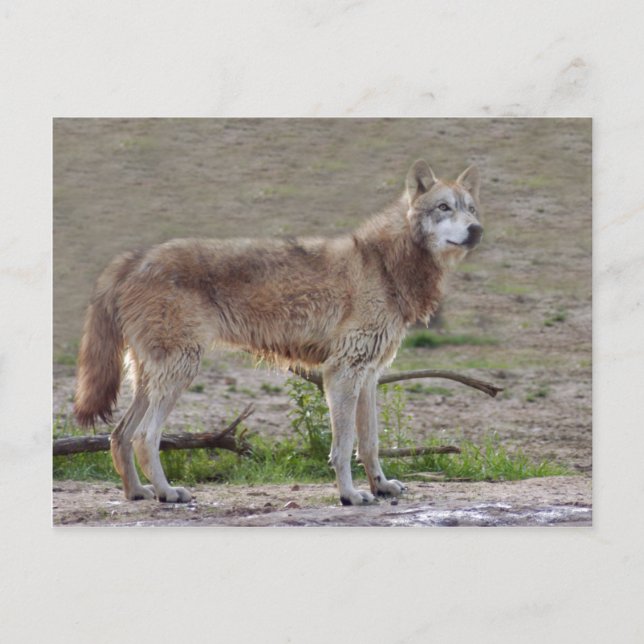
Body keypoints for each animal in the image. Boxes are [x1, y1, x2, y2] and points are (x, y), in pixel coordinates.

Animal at [74, 160, 483, 505]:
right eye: (443, 207)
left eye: (471, 209)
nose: (476, 230)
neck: (384, 265)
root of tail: (131, 258)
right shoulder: (342, 373)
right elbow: (343, 446)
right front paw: (350, 496)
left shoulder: (368, 376)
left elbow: (369, 443)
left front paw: (381, 487)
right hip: (180, 372)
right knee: (144, 437)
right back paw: (167, 493)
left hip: (151, 378)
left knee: (119, 435)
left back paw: (137, 493)